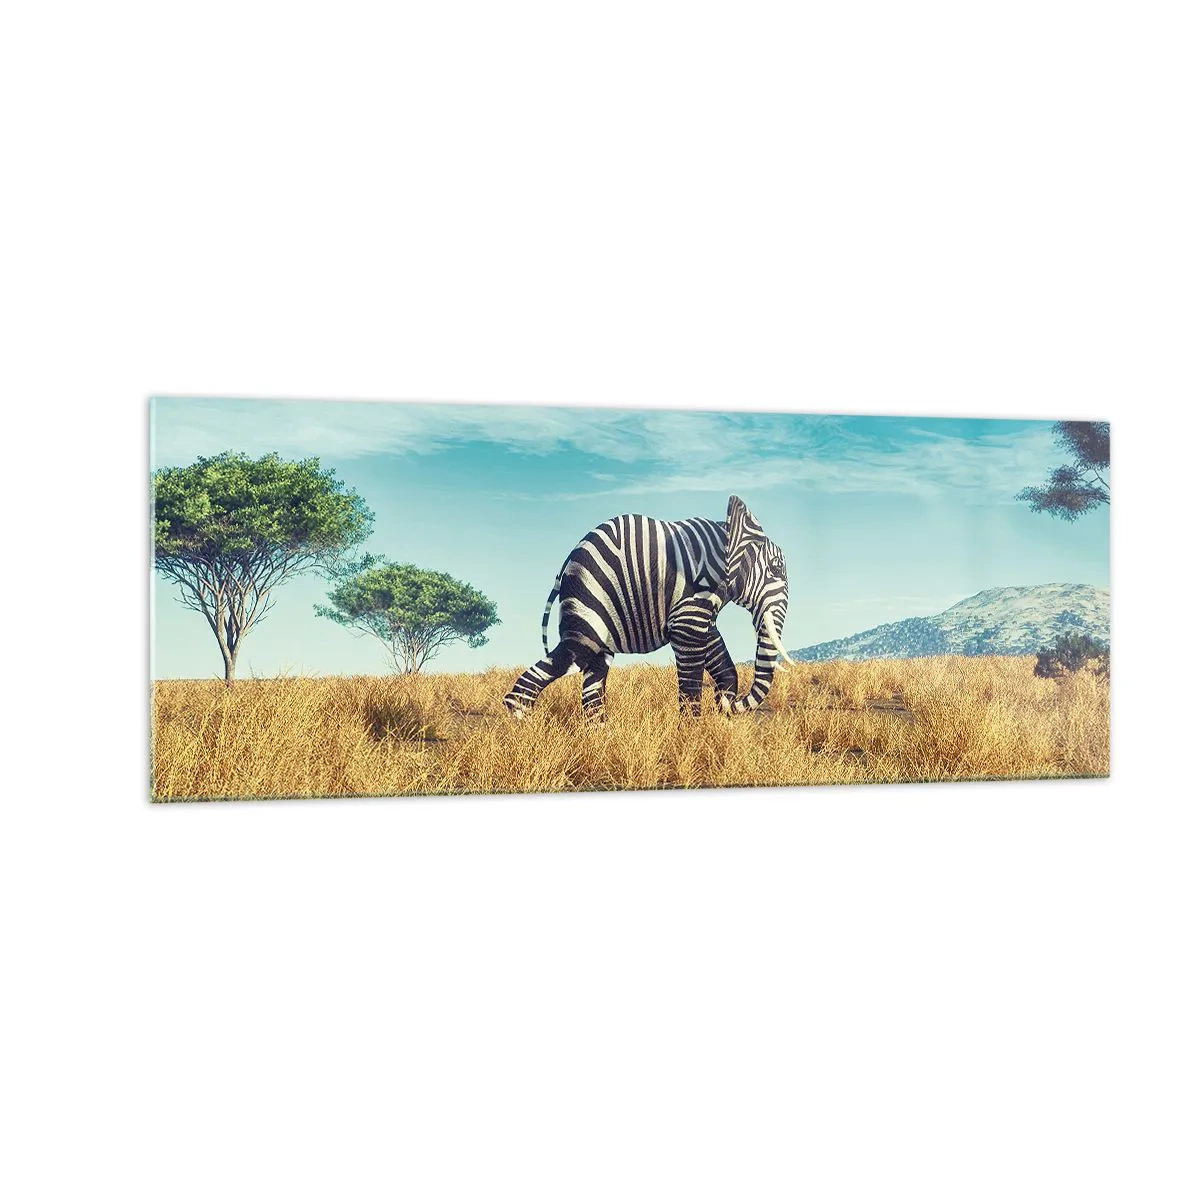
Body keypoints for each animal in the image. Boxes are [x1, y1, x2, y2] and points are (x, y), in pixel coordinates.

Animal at [504, 495, 793, 718]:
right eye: (776, 569)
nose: (731, 704)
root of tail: (566, 562)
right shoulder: (690, 602)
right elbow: (691, 678)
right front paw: (692, 738)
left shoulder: (699, 609)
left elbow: (722, 662)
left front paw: (719, 719)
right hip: (588, 602)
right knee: (571, 657)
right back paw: (526, 731)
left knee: (594, 680)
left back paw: (601, 742)